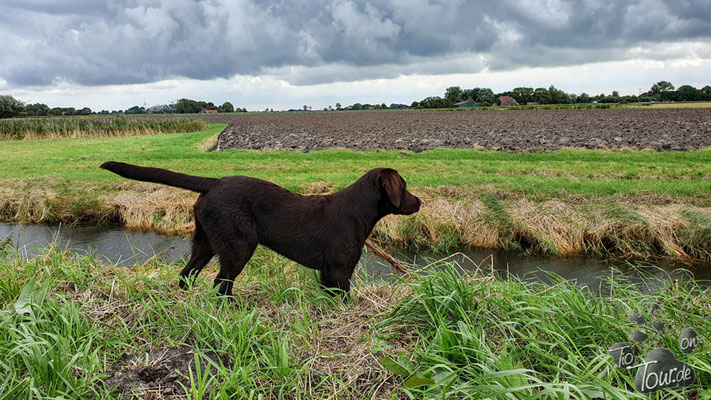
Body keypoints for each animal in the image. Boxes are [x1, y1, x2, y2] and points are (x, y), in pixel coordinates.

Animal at [101, 162, 422, 296]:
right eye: (405, 186)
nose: (419, 202)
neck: (357, 211)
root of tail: (215, 182)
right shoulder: (341, 271)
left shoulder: (327, 273)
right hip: (238, 246)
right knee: (221, 283)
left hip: (204, 243)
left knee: (187, 275)